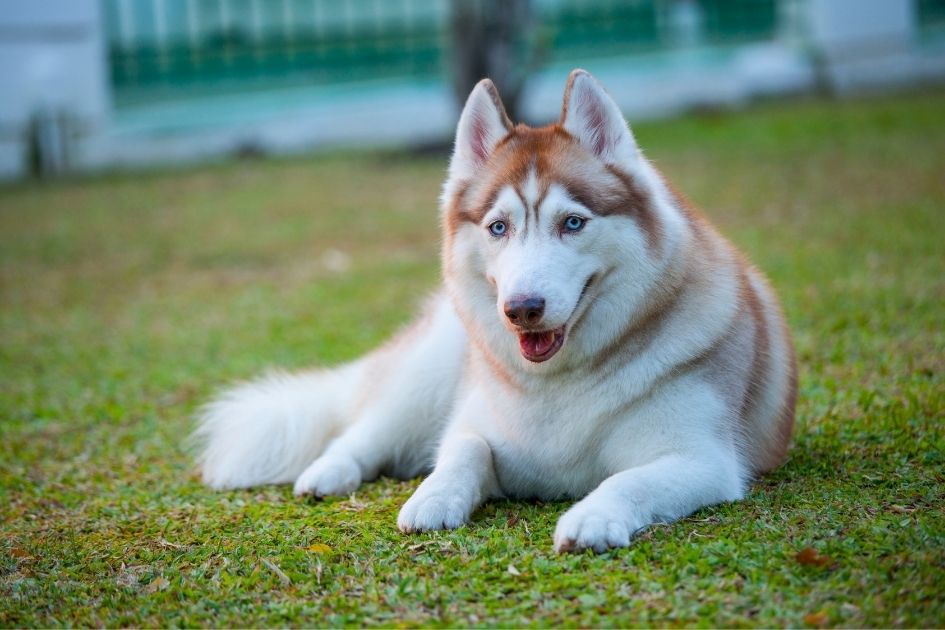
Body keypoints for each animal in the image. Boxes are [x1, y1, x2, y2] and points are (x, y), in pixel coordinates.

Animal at [197, 70, 796, 552]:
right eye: (498, 227)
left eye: (572, 223)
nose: (522, 309)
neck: (560, 384)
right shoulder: (474, 423)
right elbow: (463, 450)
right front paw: (434, 497)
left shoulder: (702, 461)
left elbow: (627, 480)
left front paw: (593, 517)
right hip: (426, 375)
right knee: (363, 432)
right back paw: (327, 473)